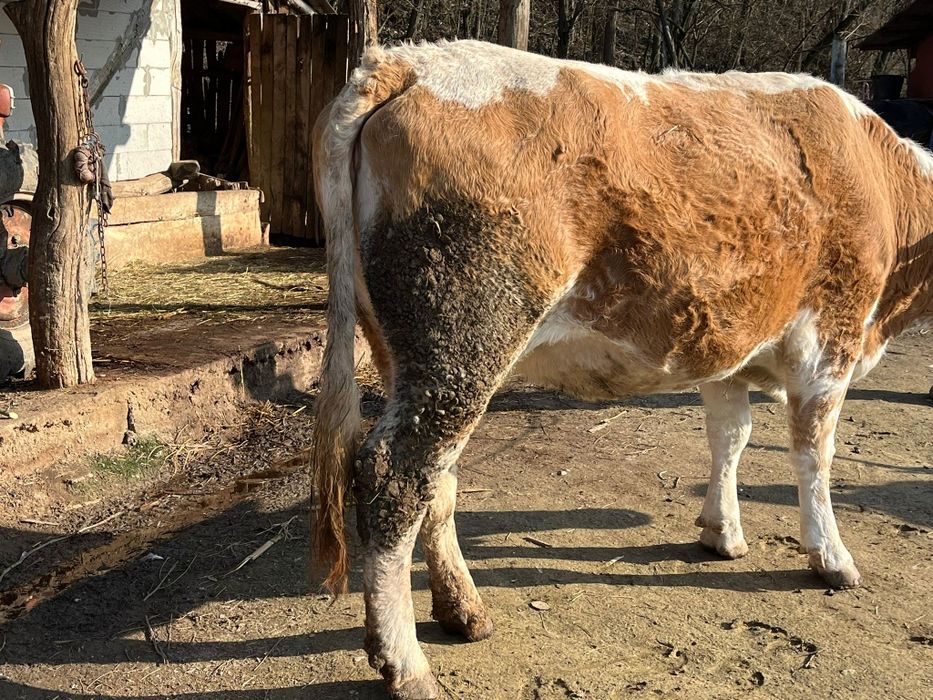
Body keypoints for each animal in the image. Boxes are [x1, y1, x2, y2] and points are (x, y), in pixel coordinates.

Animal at [309, 40, 933, 699]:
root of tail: (408, 62)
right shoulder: (831, 338)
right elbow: (814, 455)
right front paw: (831, 557)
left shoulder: (727, 345)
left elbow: (731, 438)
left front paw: (722, 532)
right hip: (462, 335)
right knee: (395, 478)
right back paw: (406, 664)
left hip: (416, 356)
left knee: (438, 478)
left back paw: (463, 611)